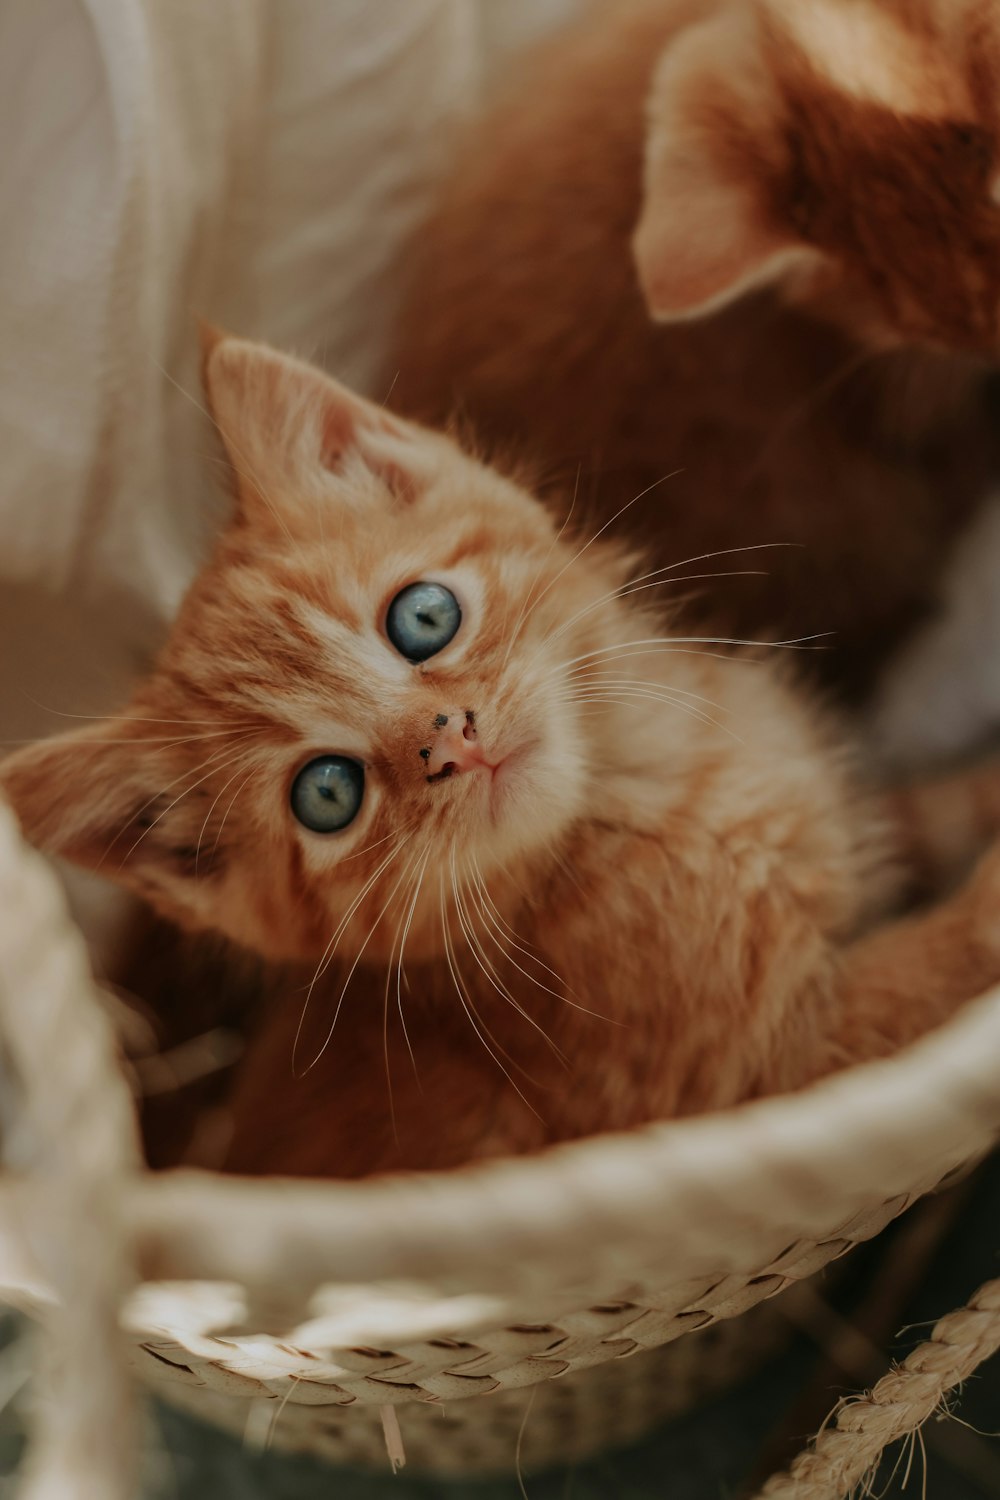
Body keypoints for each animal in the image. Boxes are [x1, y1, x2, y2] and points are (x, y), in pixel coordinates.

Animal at [1, 331, 1000, 1182]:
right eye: (327, 793)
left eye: (423, 616)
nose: (451, 741)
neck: (656, 794)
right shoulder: (781, 1077)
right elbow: (936, 972)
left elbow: (928, 817)